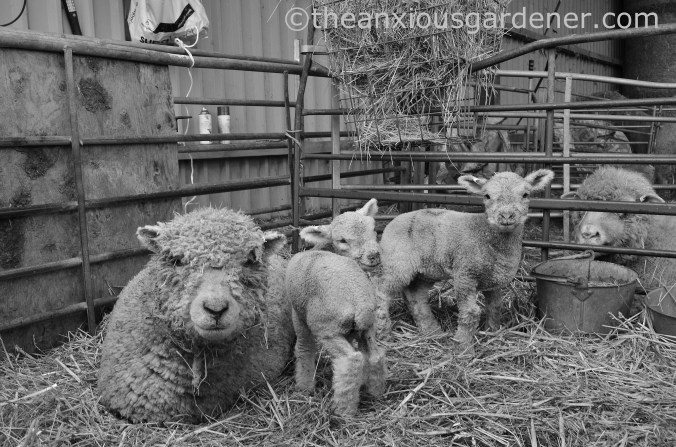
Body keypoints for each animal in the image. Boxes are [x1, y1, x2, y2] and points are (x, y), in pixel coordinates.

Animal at [286, 199, 386, 416]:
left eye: (374, 230)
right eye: (342, 240)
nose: (374, 255)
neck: (322, 248)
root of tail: (359, 302)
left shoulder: (298, 315)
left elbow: (304, 348)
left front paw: (304, 387)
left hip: (327, 329)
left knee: (350, 362)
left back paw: (342, 411)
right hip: (366, 328)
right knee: (375, 355)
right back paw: (376, 393)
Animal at [378, 170, 554, 353]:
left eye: (525, 194)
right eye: (487, 196)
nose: (506, 216)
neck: (486, 235)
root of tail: (393, 221)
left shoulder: (495, 280)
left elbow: (495, 306)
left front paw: (492, 332)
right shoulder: (465, 273)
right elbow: (471, 312)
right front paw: (463, 347)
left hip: (425, 270)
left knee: (416, 296)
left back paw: (432, 331)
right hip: (397, 263)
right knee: (382, 293)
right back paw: (384, 332)